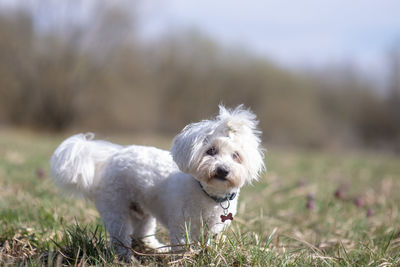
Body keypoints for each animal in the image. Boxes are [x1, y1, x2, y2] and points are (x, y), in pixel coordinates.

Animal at [48, 105, 264, 260]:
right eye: (211, 151)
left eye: (236, 156)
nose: (223, 170)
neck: (207, 194)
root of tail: (107, 159)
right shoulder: (181, 227)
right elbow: (182, 247)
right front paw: (184, 259)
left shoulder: (212, 230)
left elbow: (208, 245)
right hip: (115, 210)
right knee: (120, 238)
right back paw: (126, 258)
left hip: (143, 213)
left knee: (143, 234)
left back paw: (157, 249)